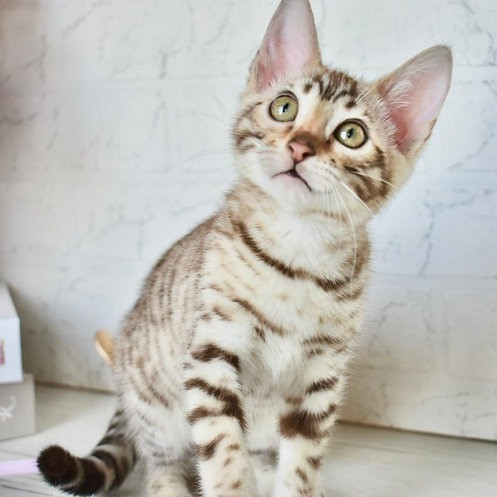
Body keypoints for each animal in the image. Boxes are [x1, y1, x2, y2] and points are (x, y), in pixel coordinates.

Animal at [36, 0, 452, 496]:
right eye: (284, 107)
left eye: (351, 134)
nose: (299, 146)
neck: (298, 254)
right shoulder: (211, 351)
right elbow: (223, 451)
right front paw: (231, 483)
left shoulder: (320, 378)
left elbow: (302, 461)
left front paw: (297, 486)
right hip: (157, 408)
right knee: (161, 466)